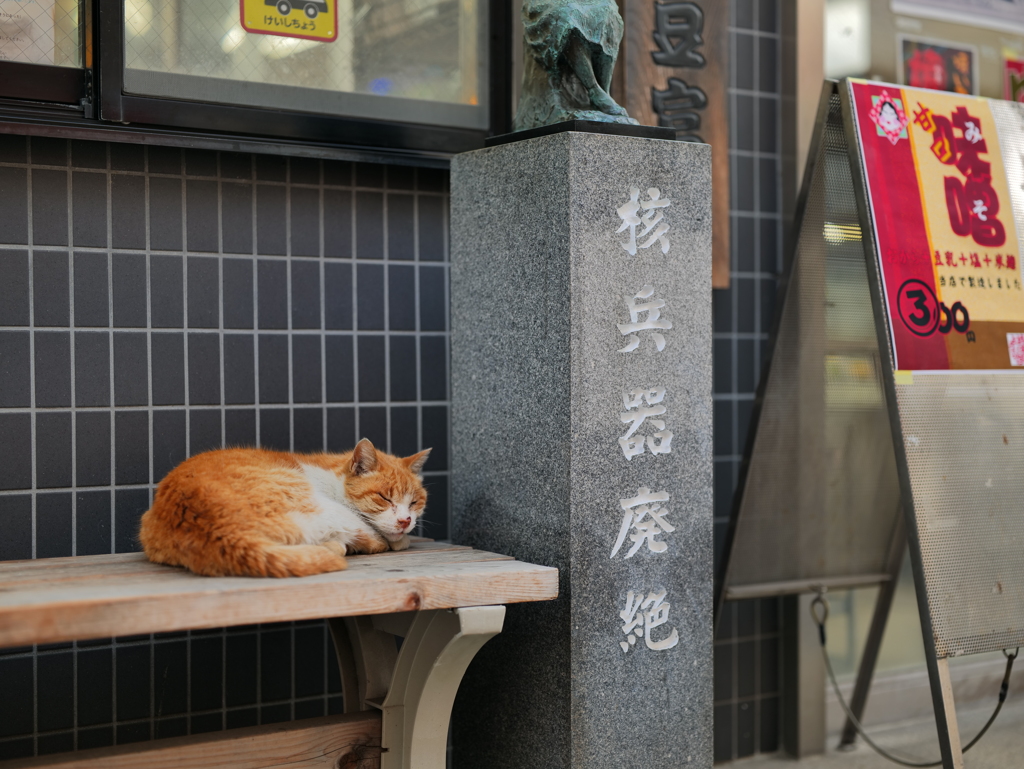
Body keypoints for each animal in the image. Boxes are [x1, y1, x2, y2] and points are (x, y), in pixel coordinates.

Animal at [139, 438, 428, 577]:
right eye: (384, 498)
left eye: (414, 502)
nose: (405, 520)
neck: (331, 479)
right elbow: (388, 541)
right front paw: (397, 540)